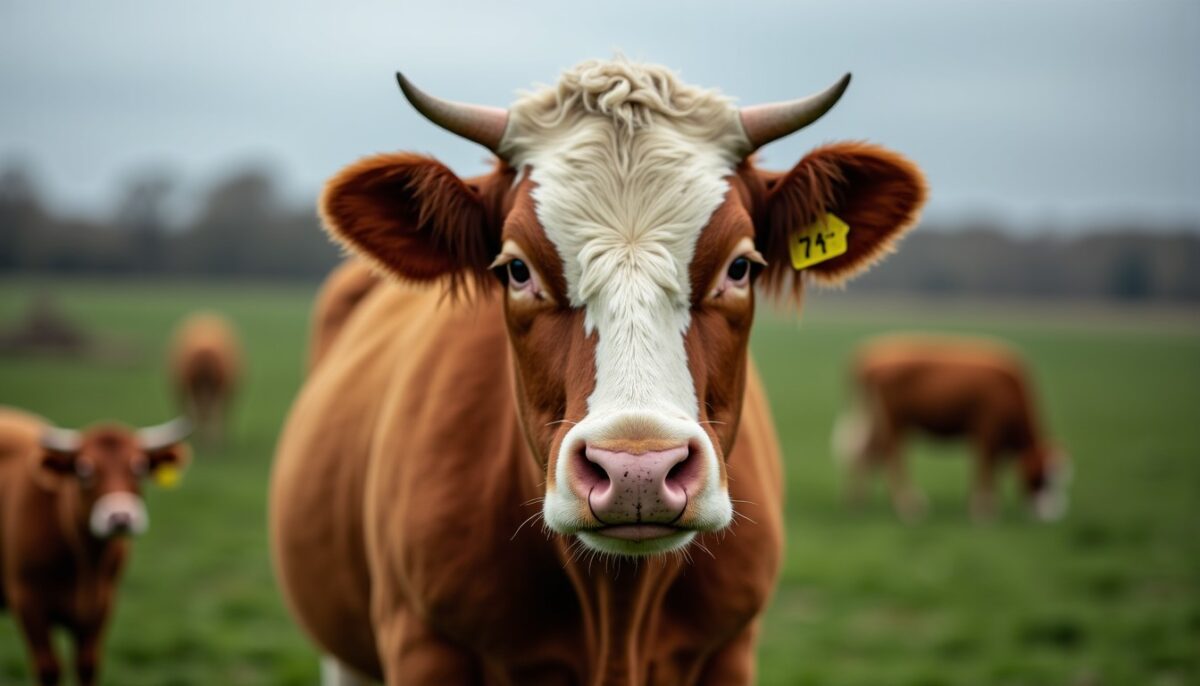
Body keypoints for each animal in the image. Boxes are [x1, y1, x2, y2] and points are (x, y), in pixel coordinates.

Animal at [0, 407, 190, 686]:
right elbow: (49, 667)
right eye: (84, 470)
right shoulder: (27, 602)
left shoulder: (102, 604)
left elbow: (87, 664)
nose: (120, 518)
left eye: (139, 467)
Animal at [269, 58, 927, 685]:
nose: (638, 470)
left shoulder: (731, 648)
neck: (617, 612)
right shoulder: (423, 641)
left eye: (740, 266)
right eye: (516, 269)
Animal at [833, 333, 1071, 522]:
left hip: (878, 419)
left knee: (867, 454)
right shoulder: (988, 429)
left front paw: (978, 504)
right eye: (1041, 477)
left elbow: (986, 467)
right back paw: (909, 507)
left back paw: (859, 502)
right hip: (894, 420)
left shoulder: (985, 435)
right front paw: (985, 511)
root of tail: (868, 359)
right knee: (891, 457)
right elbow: (986, 466)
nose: (1052, 515)